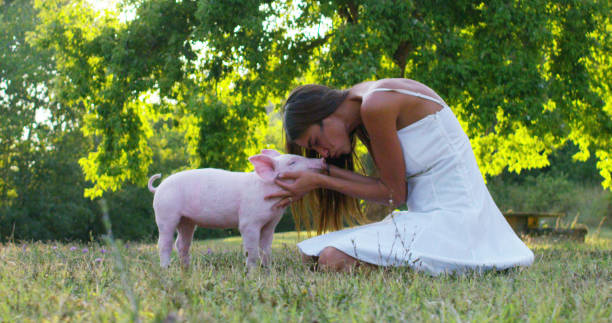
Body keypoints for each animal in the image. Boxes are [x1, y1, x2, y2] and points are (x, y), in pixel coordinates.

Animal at [147, 149, 326, 270]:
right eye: (292, 162)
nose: (322, 160)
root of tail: (159, 188)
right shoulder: (249, 221)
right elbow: (252, 250)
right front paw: (252, 273)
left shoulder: (271, 223)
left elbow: (266, 249)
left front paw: (267, 271)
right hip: (165, 213)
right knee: (164, 243)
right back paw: (166, 269)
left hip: (187, 221)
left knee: (181, 243)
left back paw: (186, 270)